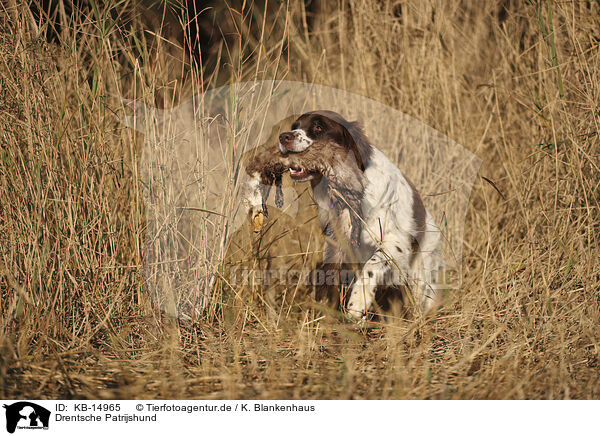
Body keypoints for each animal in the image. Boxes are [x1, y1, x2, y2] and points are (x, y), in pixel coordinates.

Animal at [244, 110, 446, 320]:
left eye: (318, 127)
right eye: (294, 126)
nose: (284, 137)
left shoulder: (395, 242)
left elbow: (372, 266)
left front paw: (358, 302)